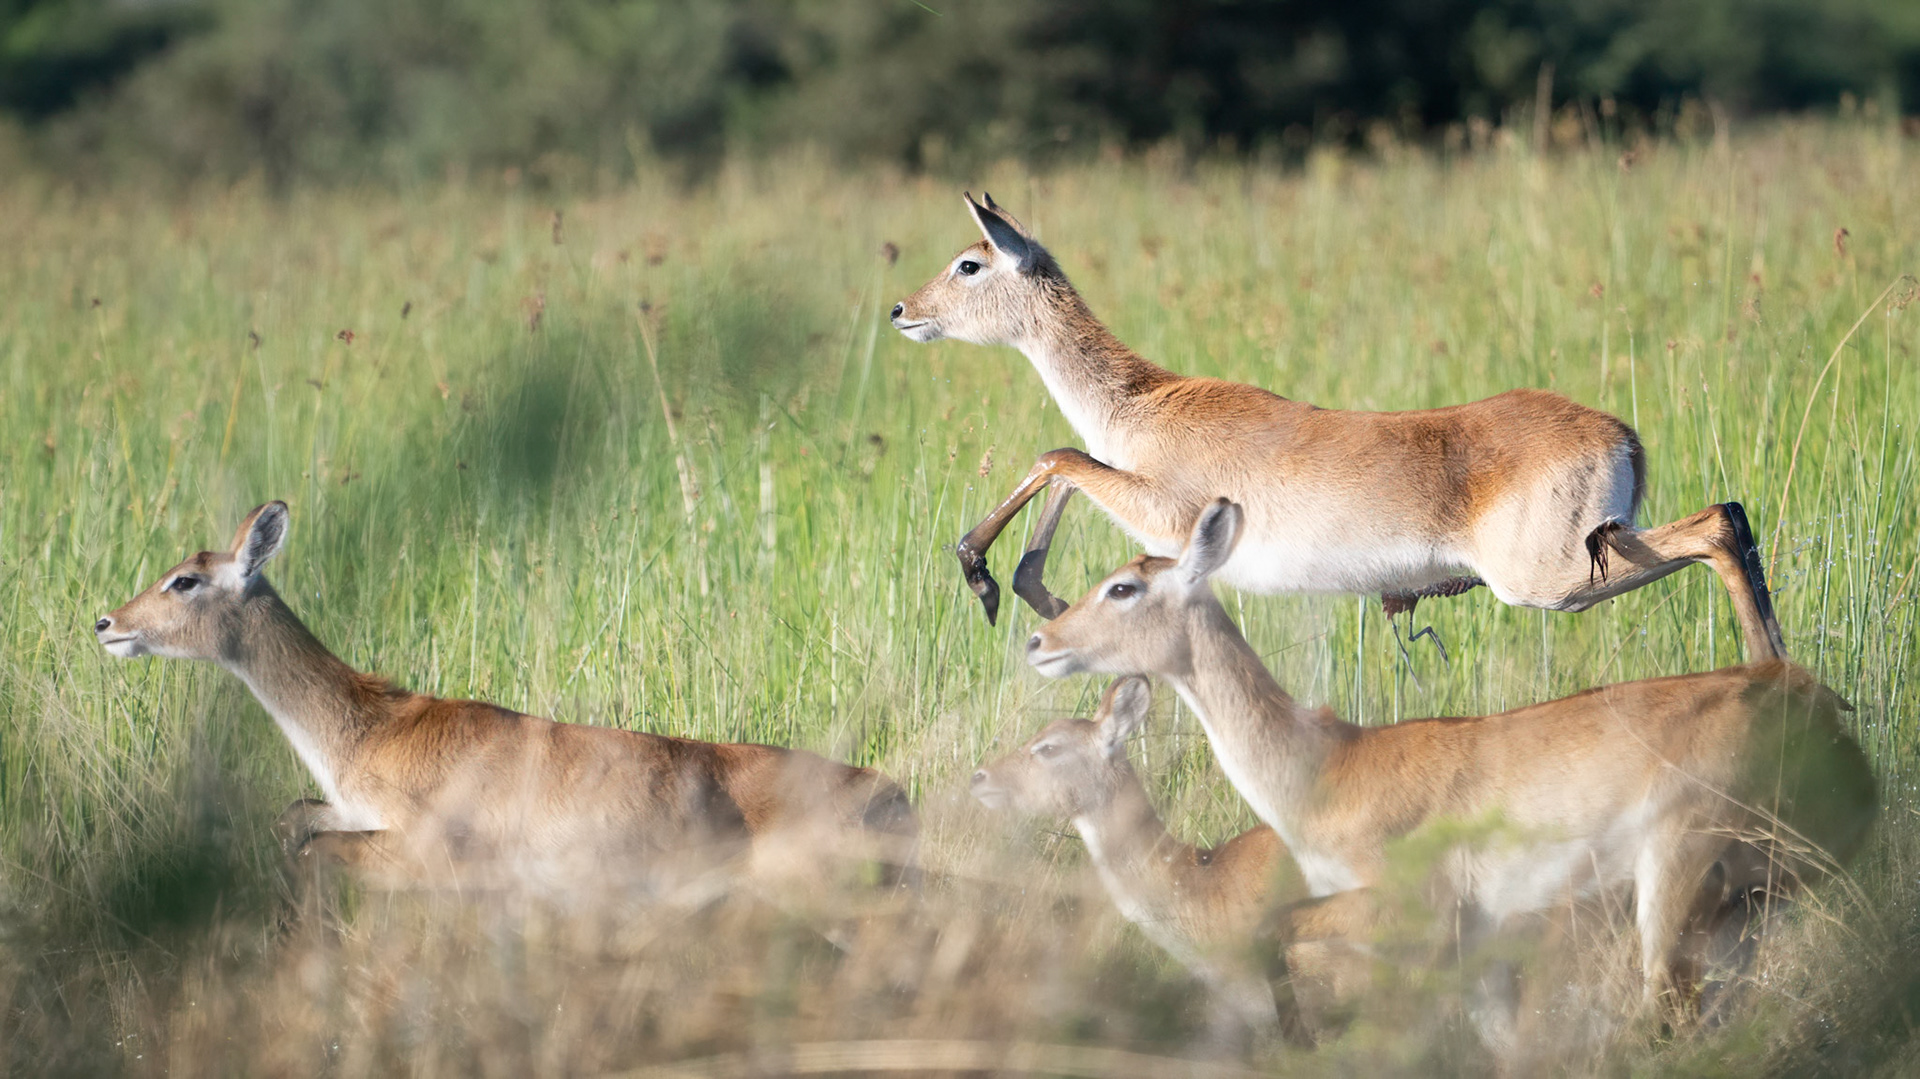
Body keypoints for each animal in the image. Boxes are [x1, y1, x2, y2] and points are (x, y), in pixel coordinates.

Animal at [93, 502, 918, 907]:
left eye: (184, 579)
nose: (106, 622)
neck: (367, 730)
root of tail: (898, 795)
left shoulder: (425, 844)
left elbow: (318, 854)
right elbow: (295, 821)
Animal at [891, 194, 1787, 663]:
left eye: (970, 262)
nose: (901, 310)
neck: (1147, 400)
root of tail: (1620, 431)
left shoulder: (1161, 510)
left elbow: (1059, 454)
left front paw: (983, 572)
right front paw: (1033, 588)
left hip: (1550, 576)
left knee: (1716, 527)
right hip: (1595, 550)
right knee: (1731, 518)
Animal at [1023, 498, 1875, 1028]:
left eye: (1123, 586)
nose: (1040, 641)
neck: (1329, 766)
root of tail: (1815, 706)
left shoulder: (1412, 915)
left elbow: (1280, 937)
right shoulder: (1480, 951)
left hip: (1675, 879)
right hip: (1739, 914)